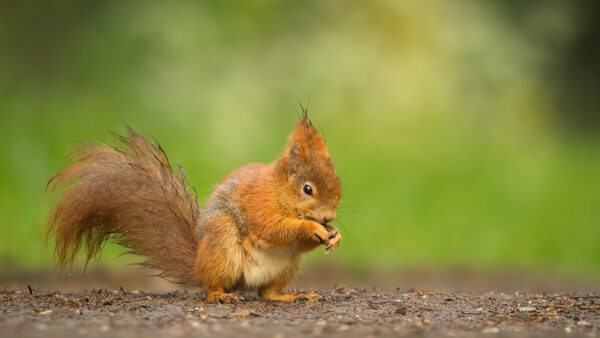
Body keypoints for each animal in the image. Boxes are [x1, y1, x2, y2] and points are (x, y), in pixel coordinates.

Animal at [45, 112, 342, 302]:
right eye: (307, 189)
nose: (329, 216)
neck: (279, 192)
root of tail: (198, 265)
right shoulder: (259, 203)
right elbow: (274, 228)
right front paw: (312, 227)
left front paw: (334, 234)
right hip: (223, 244)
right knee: (212, 287)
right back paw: (220, 295)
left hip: (287, 267)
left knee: (266, 293)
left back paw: (288, 295)